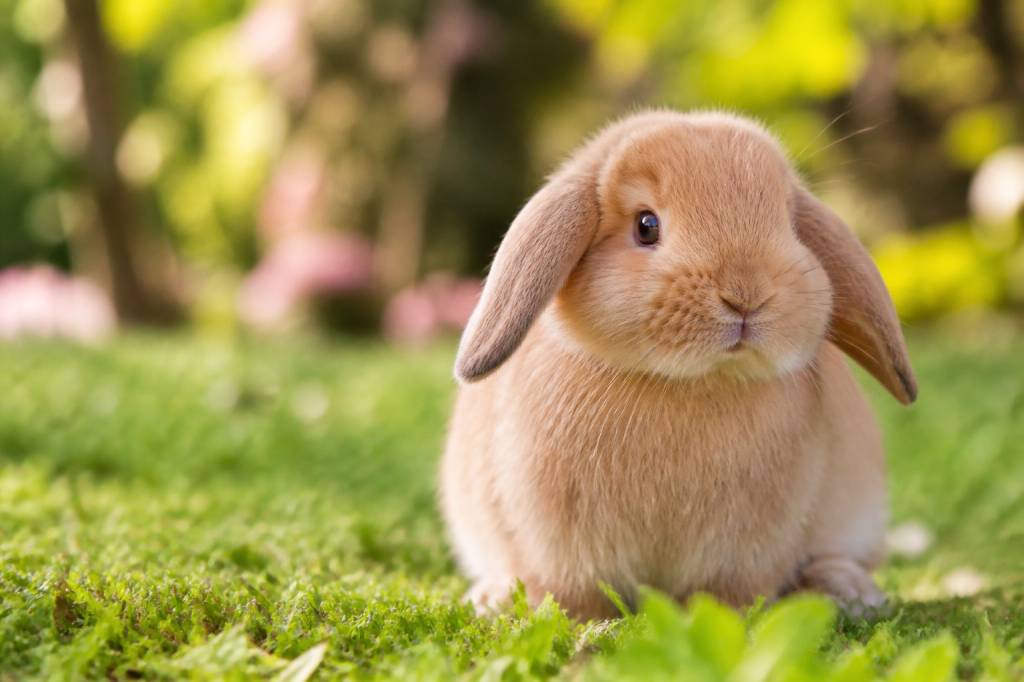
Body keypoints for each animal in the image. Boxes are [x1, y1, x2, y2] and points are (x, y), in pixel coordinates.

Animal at [440, 109, 916, 620]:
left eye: (789, 226)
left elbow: (731, 594)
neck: (690, 382)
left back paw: (848, 590)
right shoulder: (559, 543)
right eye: (646, 225)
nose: (746, 294)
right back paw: (493, 598)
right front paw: (580, 621)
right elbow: (573, 592)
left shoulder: (747, 551)